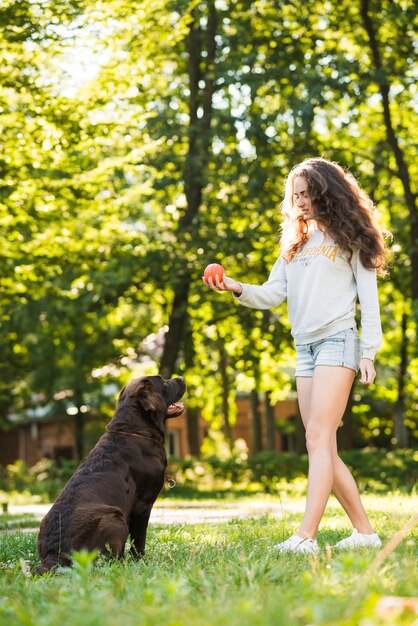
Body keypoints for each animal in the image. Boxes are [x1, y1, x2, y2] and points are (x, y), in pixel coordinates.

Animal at [36, 372, 185, 572]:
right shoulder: (143, 504)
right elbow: (139, 539)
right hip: (114, 517)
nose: (182, 378)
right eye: (162, 381)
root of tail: (55, 554)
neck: (134, 430)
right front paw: (141, 561)